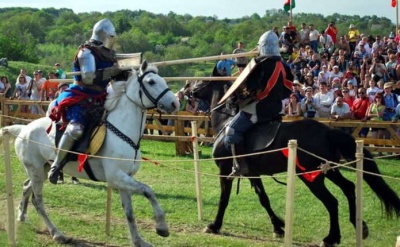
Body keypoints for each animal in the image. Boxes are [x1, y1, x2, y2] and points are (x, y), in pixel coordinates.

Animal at [1, 60, 180, 247]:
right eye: (151, 82)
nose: (175, 104)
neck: (123, 131)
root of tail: (23, 129)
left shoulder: (124, 179)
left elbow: (129, 213)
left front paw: (139, 240)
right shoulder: (117, 177)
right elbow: (148, 190)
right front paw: (161, 227)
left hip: (41, 170)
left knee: (26, 187)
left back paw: (22, 215)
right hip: (35, 170)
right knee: (38, 200)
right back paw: (57, 234)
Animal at [191, 70, 400, 246]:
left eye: (200, 81)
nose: (187, 89)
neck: (225, 122)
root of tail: (328, 131)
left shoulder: (225, 170)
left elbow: (224, 198)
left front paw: (214, 225)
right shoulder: (252, 174)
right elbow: (263, 198)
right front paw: (278, 227)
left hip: (312, 177)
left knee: (332, 202)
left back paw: (331, 238)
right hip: (328, 170)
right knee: (348, 188)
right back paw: (358, 226)